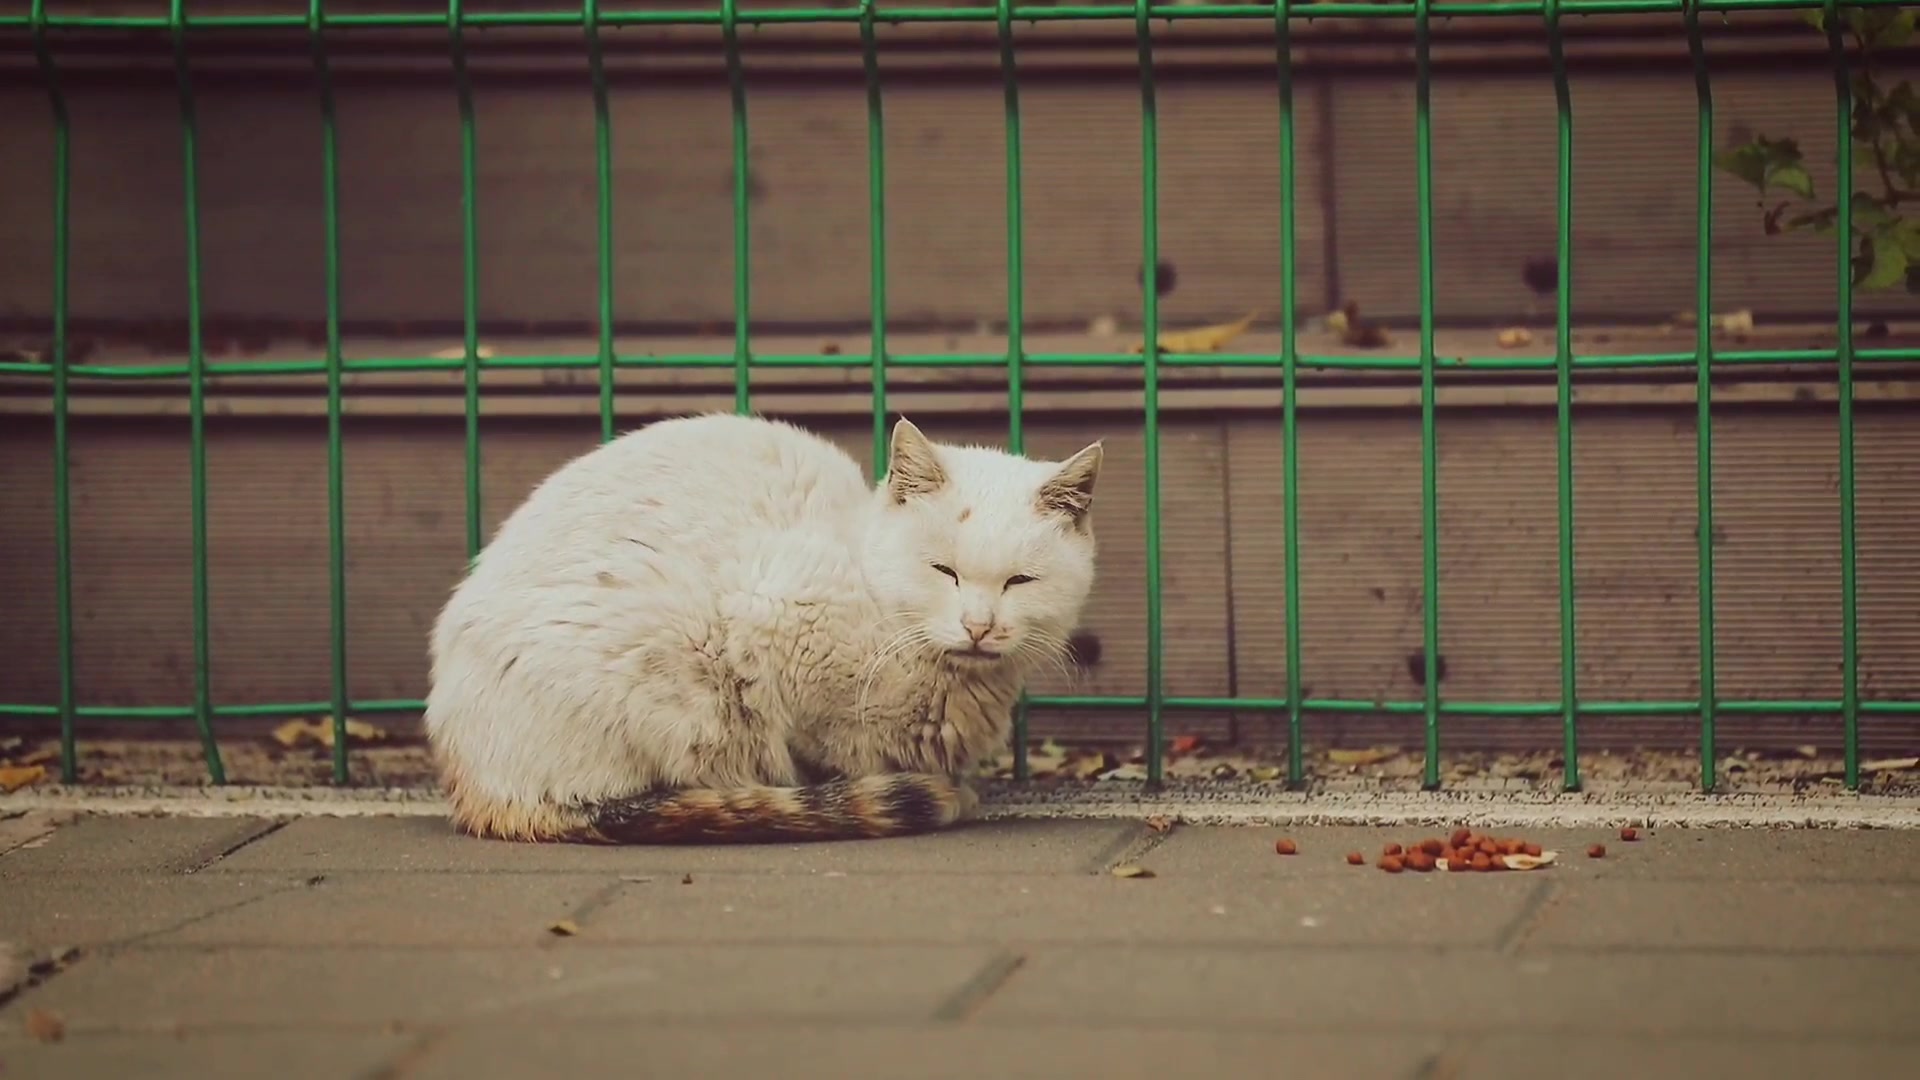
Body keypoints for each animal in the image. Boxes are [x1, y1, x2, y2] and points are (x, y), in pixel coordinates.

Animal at [426, 411, 1105, 841]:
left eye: (1020, 582)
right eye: (944, 571)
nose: (978, 625)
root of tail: (471, 784)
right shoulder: (774, 620)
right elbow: (826, 749)